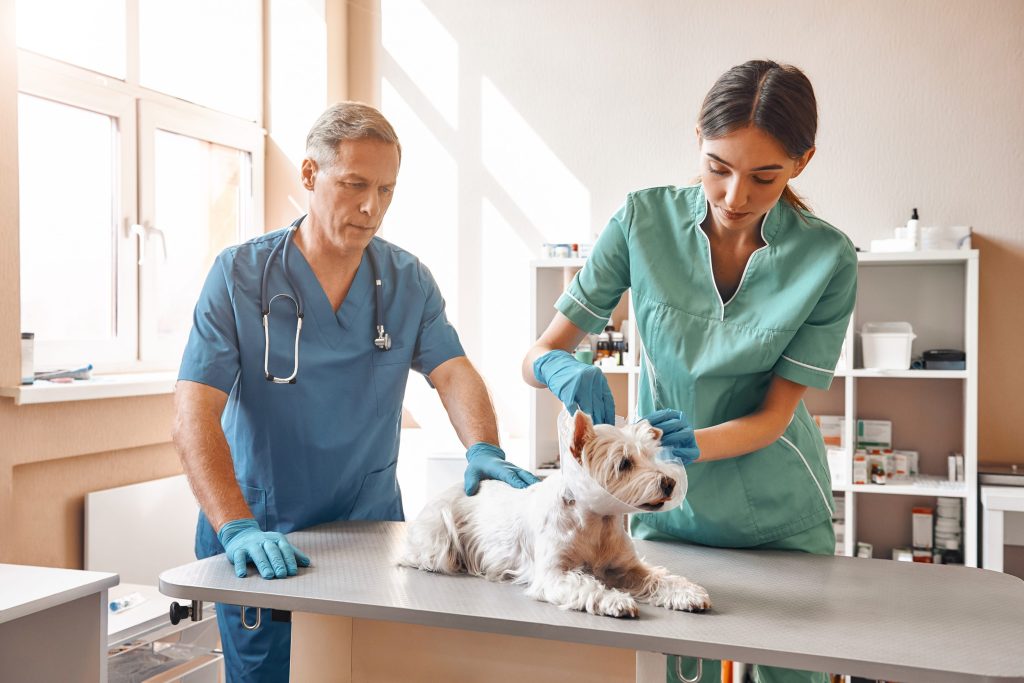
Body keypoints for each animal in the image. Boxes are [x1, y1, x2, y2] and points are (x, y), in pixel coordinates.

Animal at [399, 411, 712, 618]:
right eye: (624, 463)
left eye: (651, 456)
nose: (669, 483)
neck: (596, 523)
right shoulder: (553, 574)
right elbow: (585, 583)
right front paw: (615, 601)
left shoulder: (625, 567)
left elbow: (658, 577)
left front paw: (688, 593)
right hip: (439, 537)